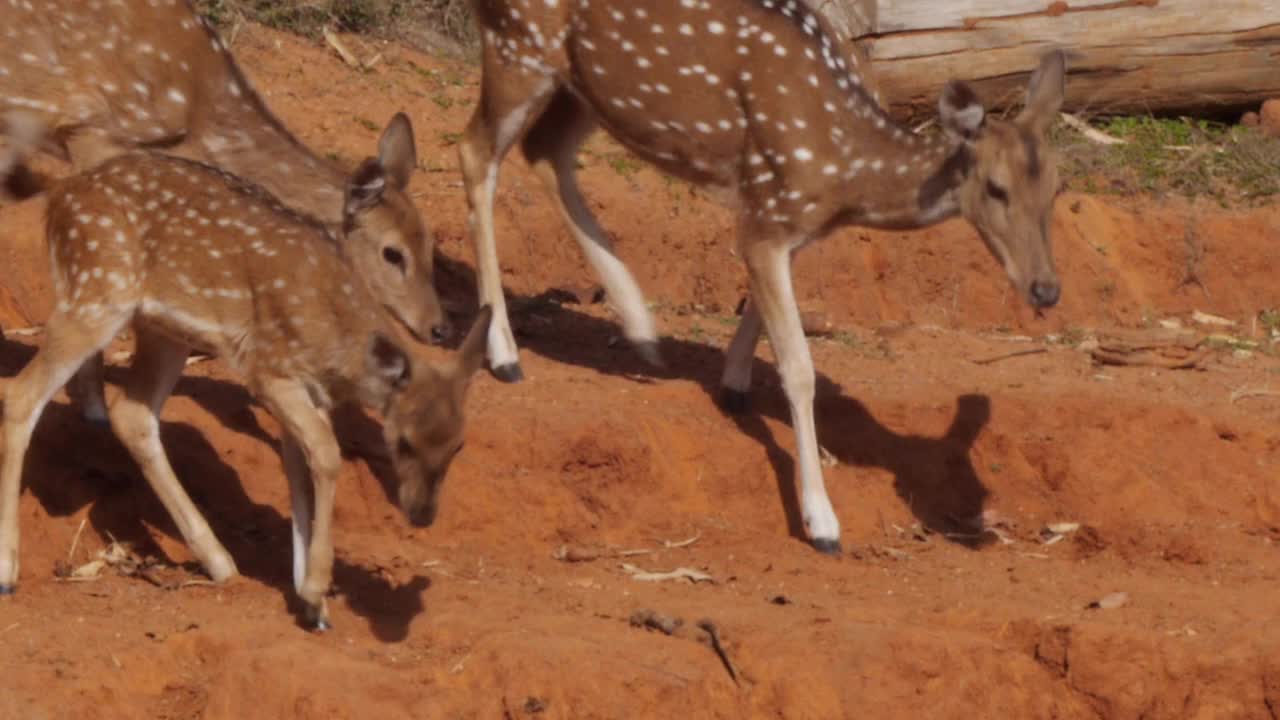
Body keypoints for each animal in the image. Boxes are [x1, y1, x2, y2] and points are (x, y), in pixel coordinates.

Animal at [0, 0, 450, 417]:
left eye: (431, 245)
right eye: (393, 253)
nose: (439, 328)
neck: (198, 120)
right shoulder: (91, 130)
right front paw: (93, 406)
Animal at [0, 152, 491, 627]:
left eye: (458, 445)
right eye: (403, 442)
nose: (423, 513)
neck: (338, 346)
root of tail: (58, 199)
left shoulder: (309, 393)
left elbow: (300, 467)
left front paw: (309, 598)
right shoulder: (268, 371)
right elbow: (327, 455)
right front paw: (317, 588)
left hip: (163, 330)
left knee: (132, 414)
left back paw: (219, 561)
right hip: (97, 293)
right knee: (21, 397)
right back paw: (9, 570)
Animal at [463, 1, 1070, 548]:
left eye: (1056, 189)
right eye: (996, 188)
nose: (1047, 288)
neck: (844, 175)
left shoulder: (779, 221)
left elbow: (763, 315)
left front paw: (732, 384)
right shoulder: (768, 212)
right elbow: (798, 367)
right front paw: (821, 520)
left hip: (585, 85)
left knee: (545, 152)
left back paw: (639, 327)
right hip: (517, 47)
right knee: (476, 152)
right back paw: (505, 353)